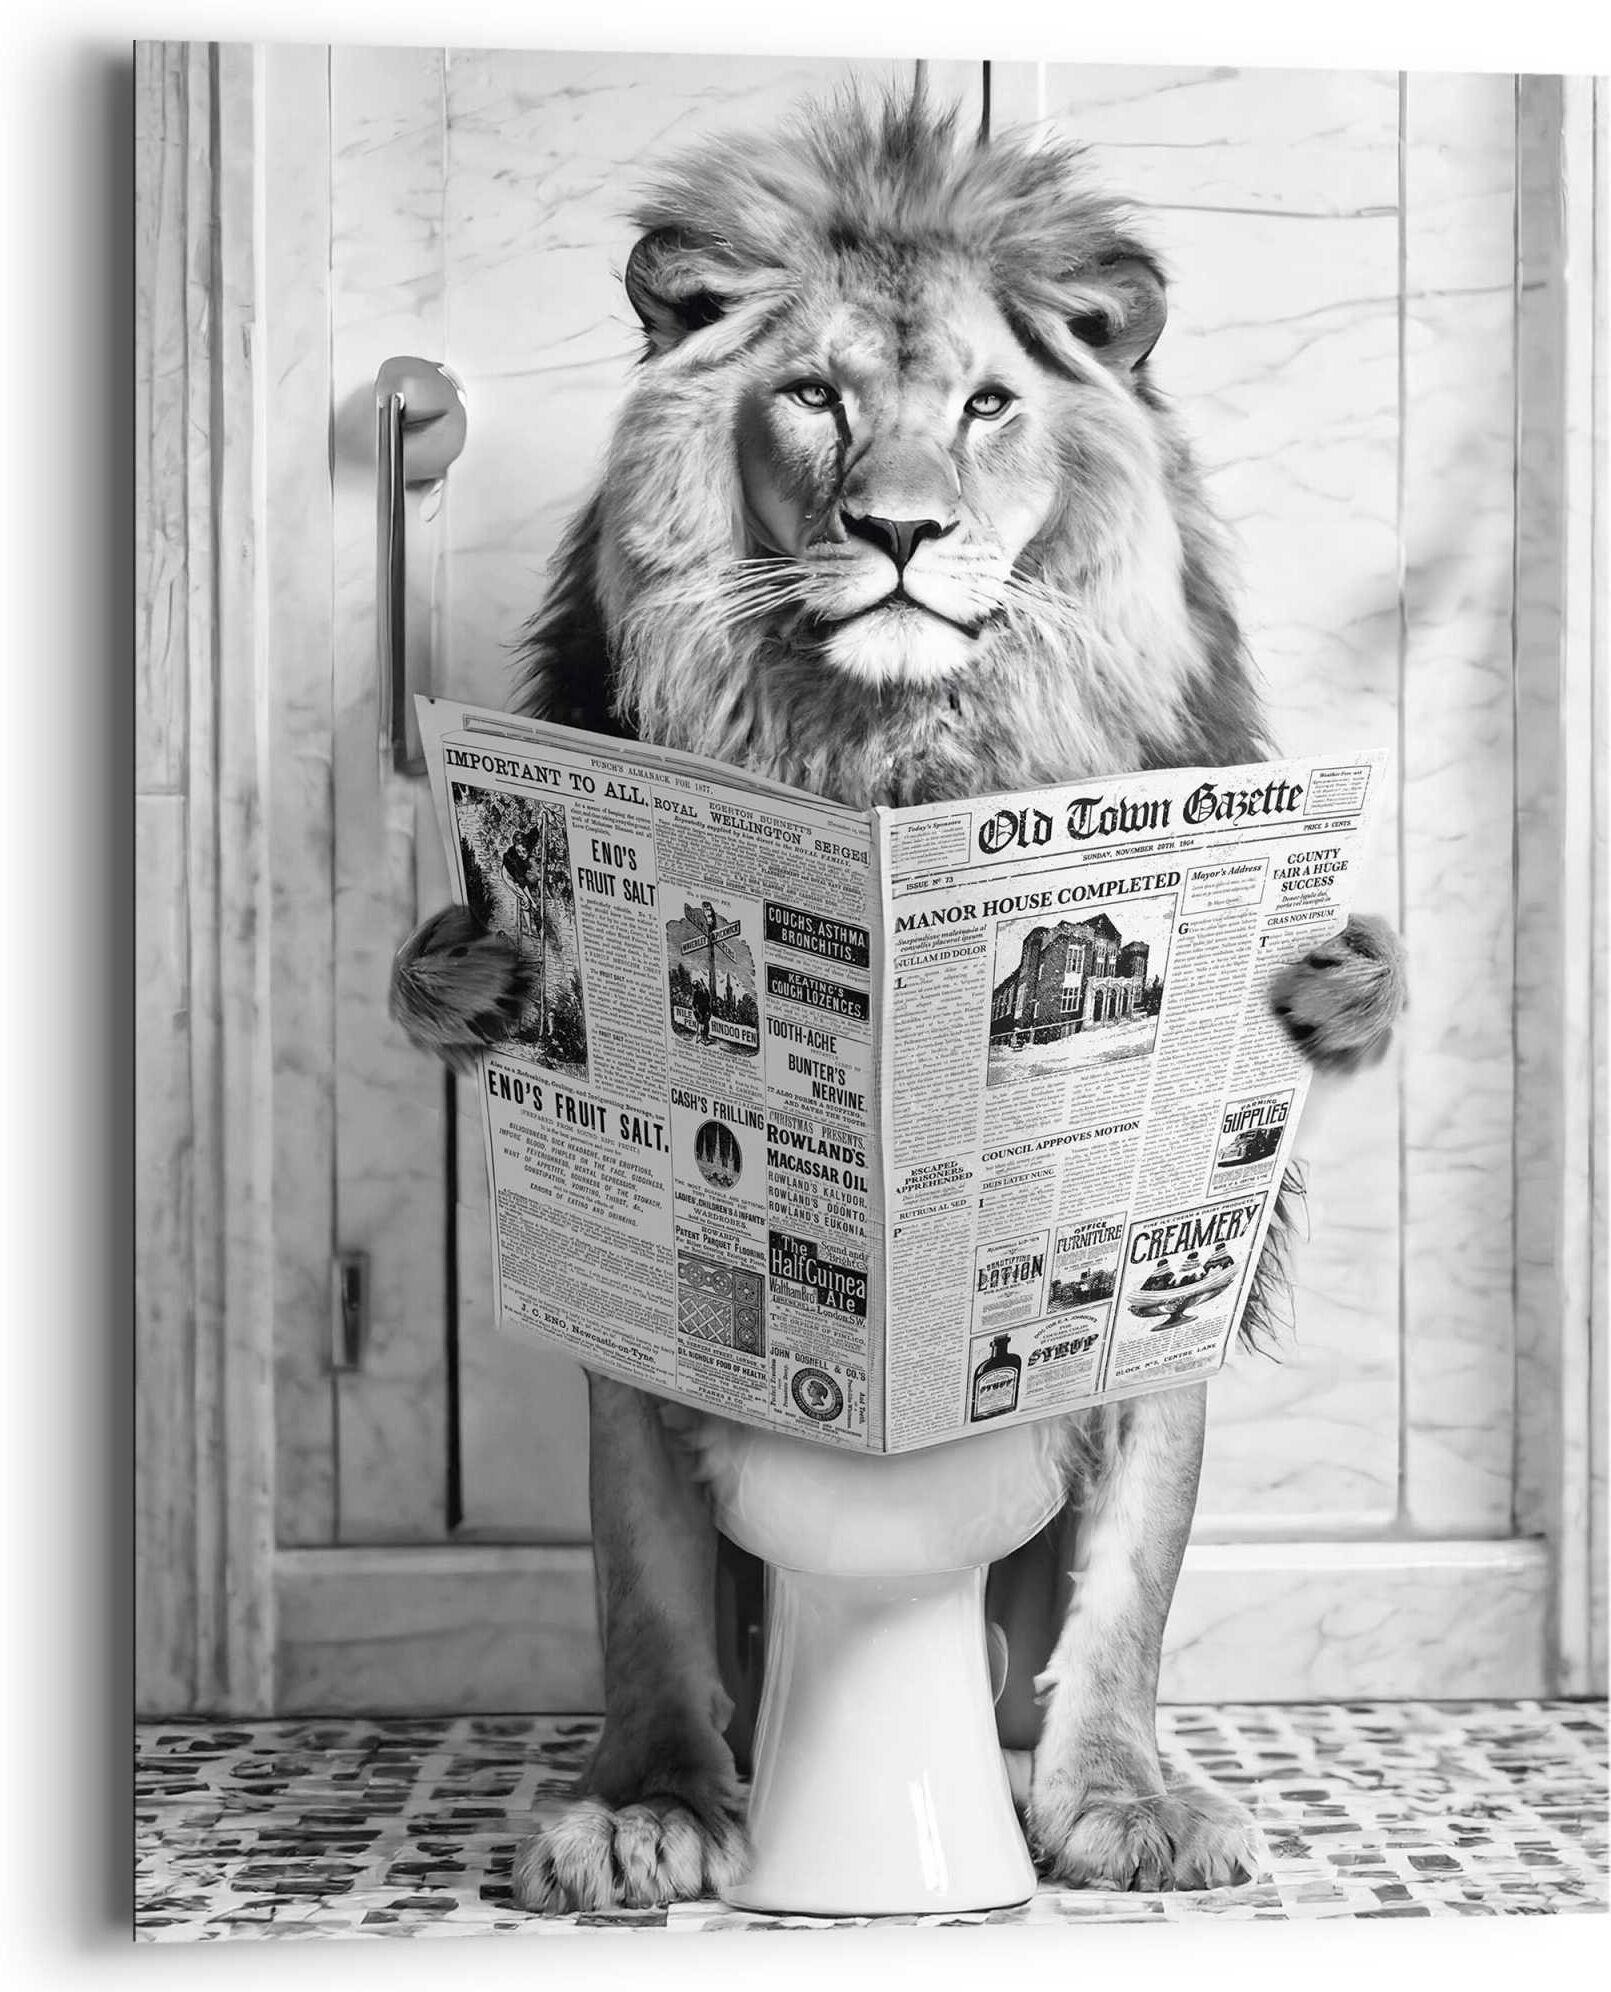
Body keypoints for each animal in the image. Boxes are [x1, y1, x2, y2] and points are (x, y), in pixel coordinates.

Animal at [391, 90, 1406, 1908]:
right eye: (815, 397)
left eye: (988, 404)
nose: (901, 531)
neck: (880, 757)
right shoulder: (637, 1346)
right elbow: (643, 1582)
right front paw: (646, 1804)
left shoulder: (1171, 1279)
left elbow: (1129, 1586)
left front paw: (1126, 1798)